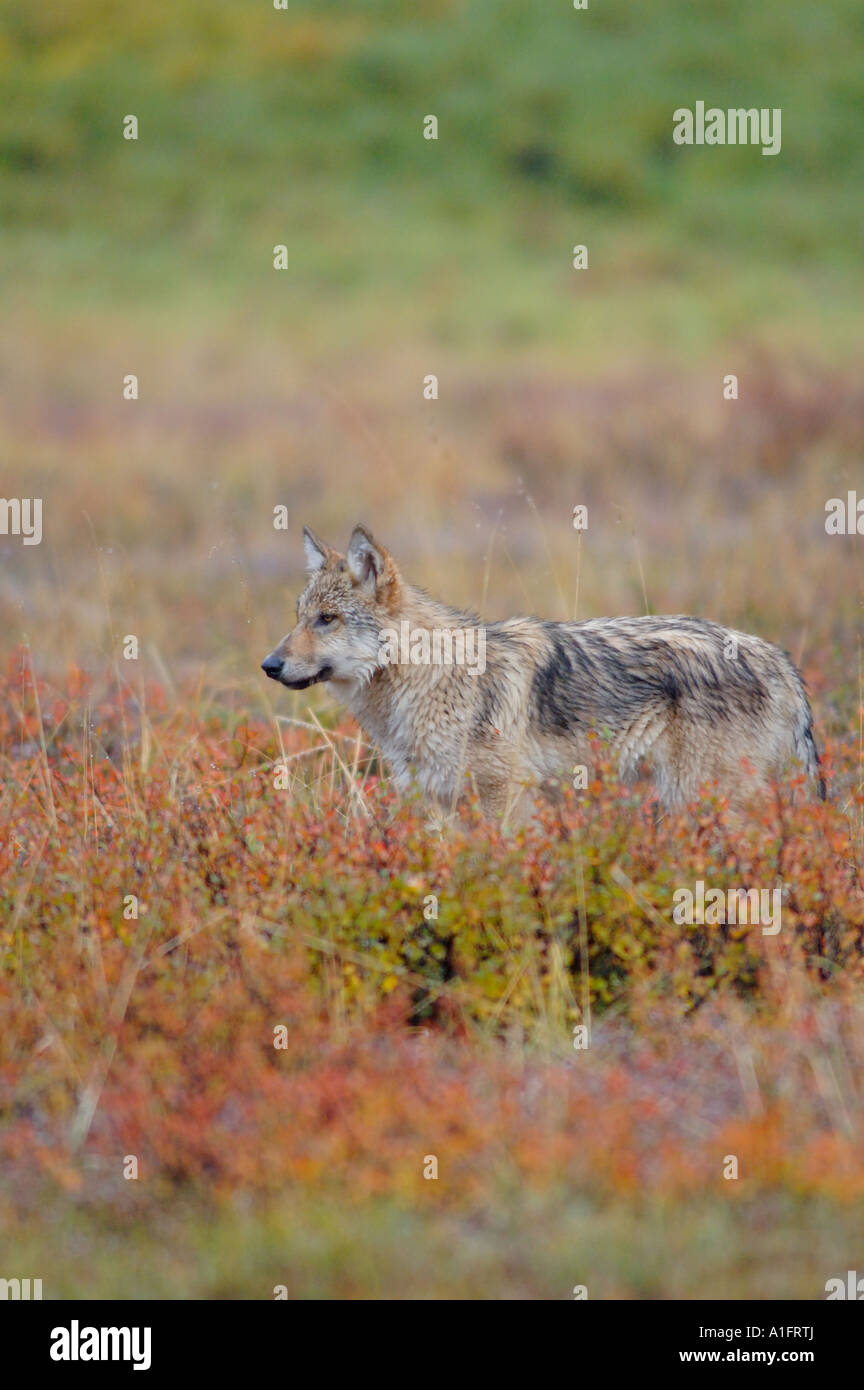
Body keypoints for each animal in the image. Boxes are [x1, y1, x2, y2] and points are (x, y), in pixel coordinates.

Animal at [261, 525, 827, 817]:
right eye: (298, 616)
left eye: (327, 619)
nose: (269, 665)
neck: (430, 680)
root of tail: (777, 657)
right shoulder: (438, 802)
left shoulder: (505, 798)